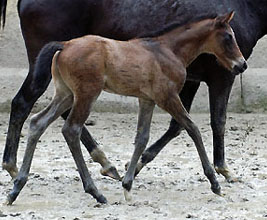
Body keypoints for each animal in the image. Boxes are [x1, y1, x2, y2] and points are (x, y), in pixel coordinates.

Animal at [1, 0, 266, 181]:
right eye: (229, 37)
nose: (242, 65)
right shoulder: (221, 76)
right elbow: (216, 121)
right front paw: (224, 170)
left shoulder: (188, 81)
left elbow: (178, 125)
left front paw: (137, 164)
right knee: (25, 102)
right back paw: (13, 167)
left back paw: (105, 163)